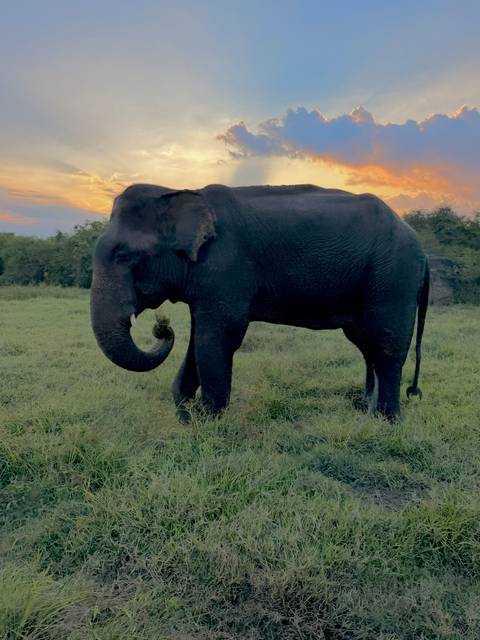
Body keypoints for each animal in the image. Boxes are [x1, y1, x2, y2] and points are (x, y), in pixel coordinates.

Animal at [91, 183, 429, 422]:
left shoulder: (226, 267)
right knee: (365, 343)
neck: (179, 191)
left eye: (125, 256)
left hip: (391, 278)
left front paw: (207, 419)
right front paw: (186, 412)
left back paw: (386, 421)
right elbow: (200, 335)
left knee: (385, 345)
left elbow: (219, 336)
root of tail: (421, 248)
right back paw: (364, 410)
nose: (163, 327)